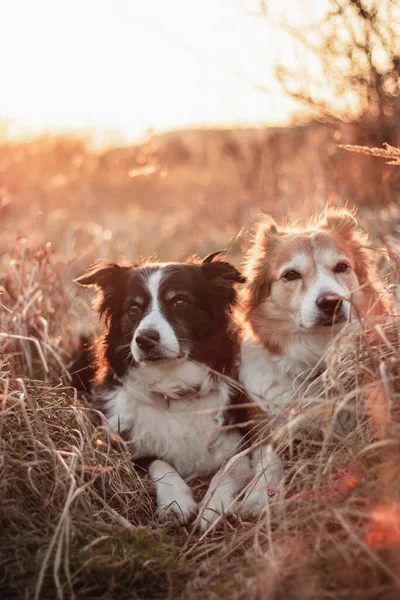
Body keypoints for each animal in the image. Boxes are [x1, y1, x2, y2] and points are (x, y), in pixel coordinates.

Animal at [71, 253, 260, 528]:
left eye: (179, 301)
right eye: (133, 308)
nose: (145, 340)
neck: (173, 388)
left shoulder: (240, 439)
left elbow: (230, 468)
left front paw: (214, 506)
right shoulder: (126, 446)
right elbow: (160, 463)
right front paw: (176, 502)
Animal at [238, 207, 388, 516]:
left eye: (341, 267)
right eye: (291, 275)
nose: (331, 302)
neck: (317, 350)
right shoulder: (265, 423)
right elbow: (267, 456)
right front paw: (258, 494)